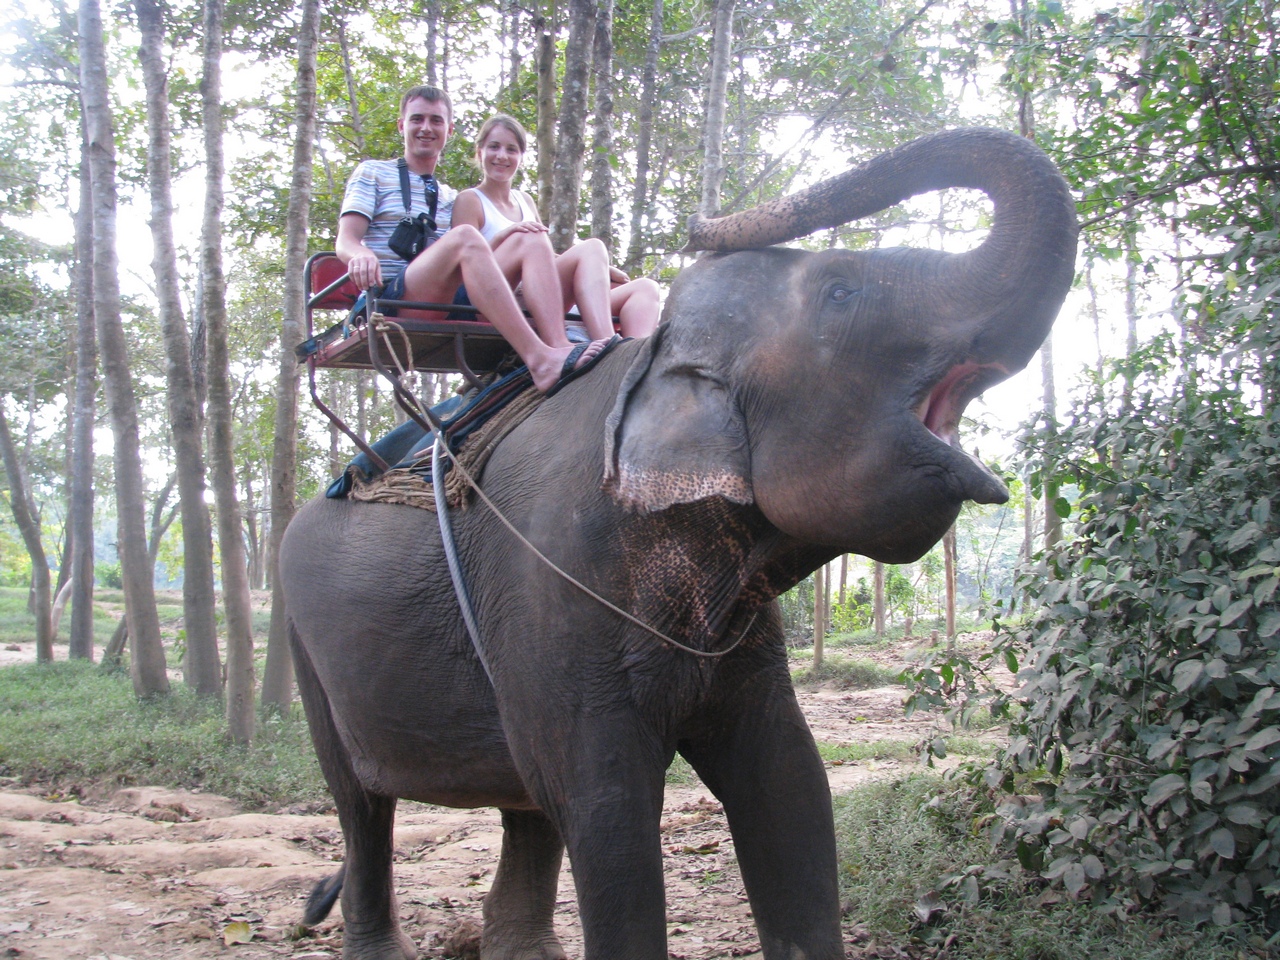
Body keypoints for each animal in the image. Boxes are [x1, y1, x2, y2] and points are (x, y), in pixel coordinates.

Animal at [280, 126, 1078, 960]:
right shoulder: (545, 588)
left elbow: (789, 781)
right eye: (841, 292)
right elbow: (606, 810)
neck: (648, 365)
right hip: (305, 643)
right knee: (361, 803)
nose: (701, 227)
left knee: (522, 807)